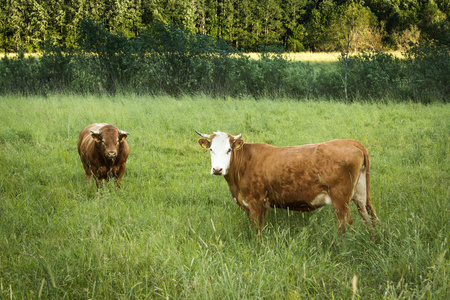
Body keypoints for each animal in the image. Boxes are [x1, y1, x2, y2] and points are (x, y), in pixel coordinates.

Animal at [195, 131, 378, 237]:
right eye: (211, 149)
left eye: (229, 150)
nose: (217, 169)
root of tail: (351, 142)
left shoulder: (255, 202)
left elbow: (257, 229)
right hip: (361, 194)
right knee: (369, 215)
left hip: (340, 198)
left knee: (345, 222)